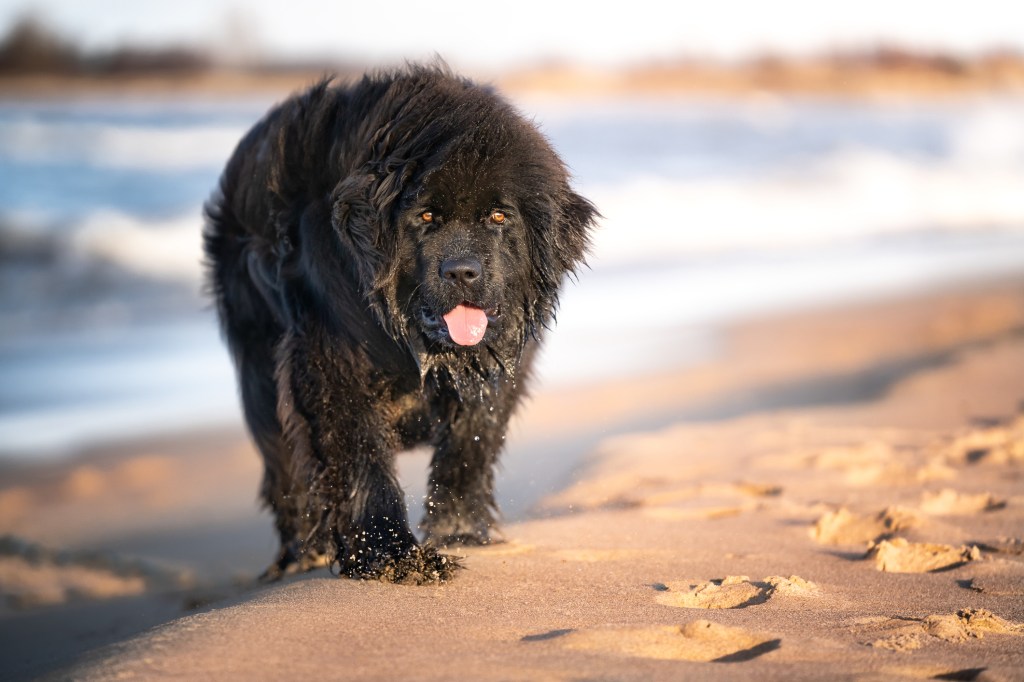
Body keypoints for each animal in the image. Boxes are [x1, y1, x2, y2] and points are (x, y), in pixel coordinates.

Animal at [202, 63, 598, 581]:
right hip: (260, 378)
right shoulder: (330, 361)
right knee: (285, 471)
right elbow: (360, 458)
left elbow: (468, 447)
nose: (463, 272)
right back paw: (301, 555)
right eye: (426, 215)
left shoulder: (495, 375)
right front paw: (392, 555)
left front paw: (460, 532)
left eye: (497, 217)